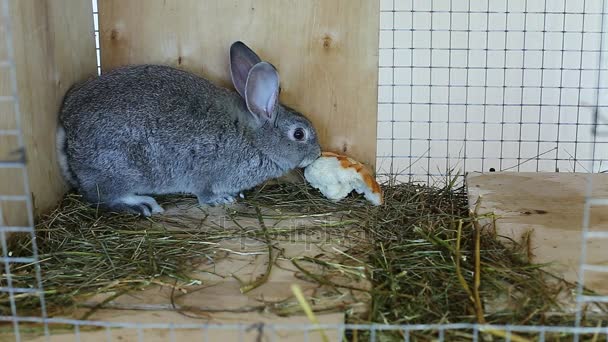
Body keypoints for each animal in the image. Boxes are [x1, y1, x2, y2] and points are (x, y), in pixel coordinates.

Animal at [57, 40, 324, 216]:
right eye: (299, 134)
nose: (318, 153)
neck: (255, 138)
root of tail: (67, 124)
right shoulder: (206, 173)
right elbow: (204, 193)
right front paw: (222, 199)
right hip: (121, 169)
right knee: (101, 197)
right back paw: (142, 204)